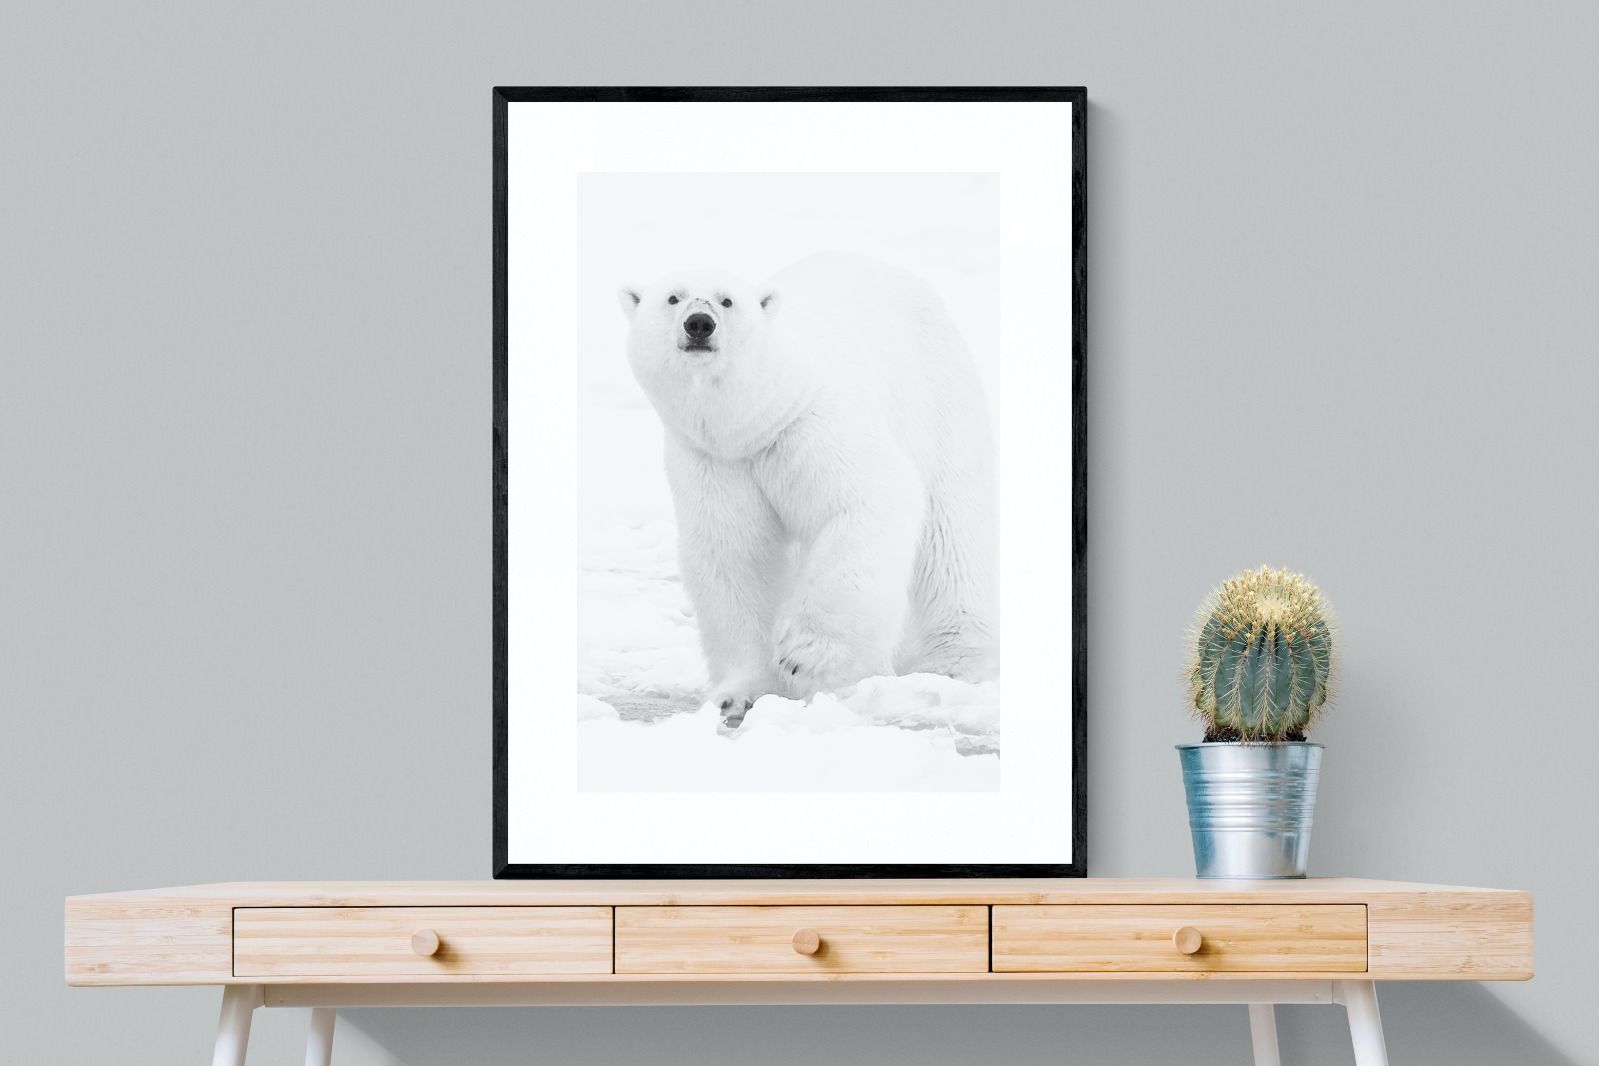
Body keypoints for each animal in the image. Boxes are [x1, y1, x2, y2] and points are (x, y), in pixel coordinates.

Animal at [617, 252, 997, 726]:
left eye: (727, 300)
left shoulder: (811, 425)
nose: (699, 324)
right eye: (673, 297)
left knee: (953, 532)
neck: (755, 423)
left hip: (939, 399)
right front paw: (739, 694)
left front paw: (807, 657)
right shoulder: (714, 461)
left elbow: (867, 499)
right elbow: (735, 555)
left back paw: (952, 662)